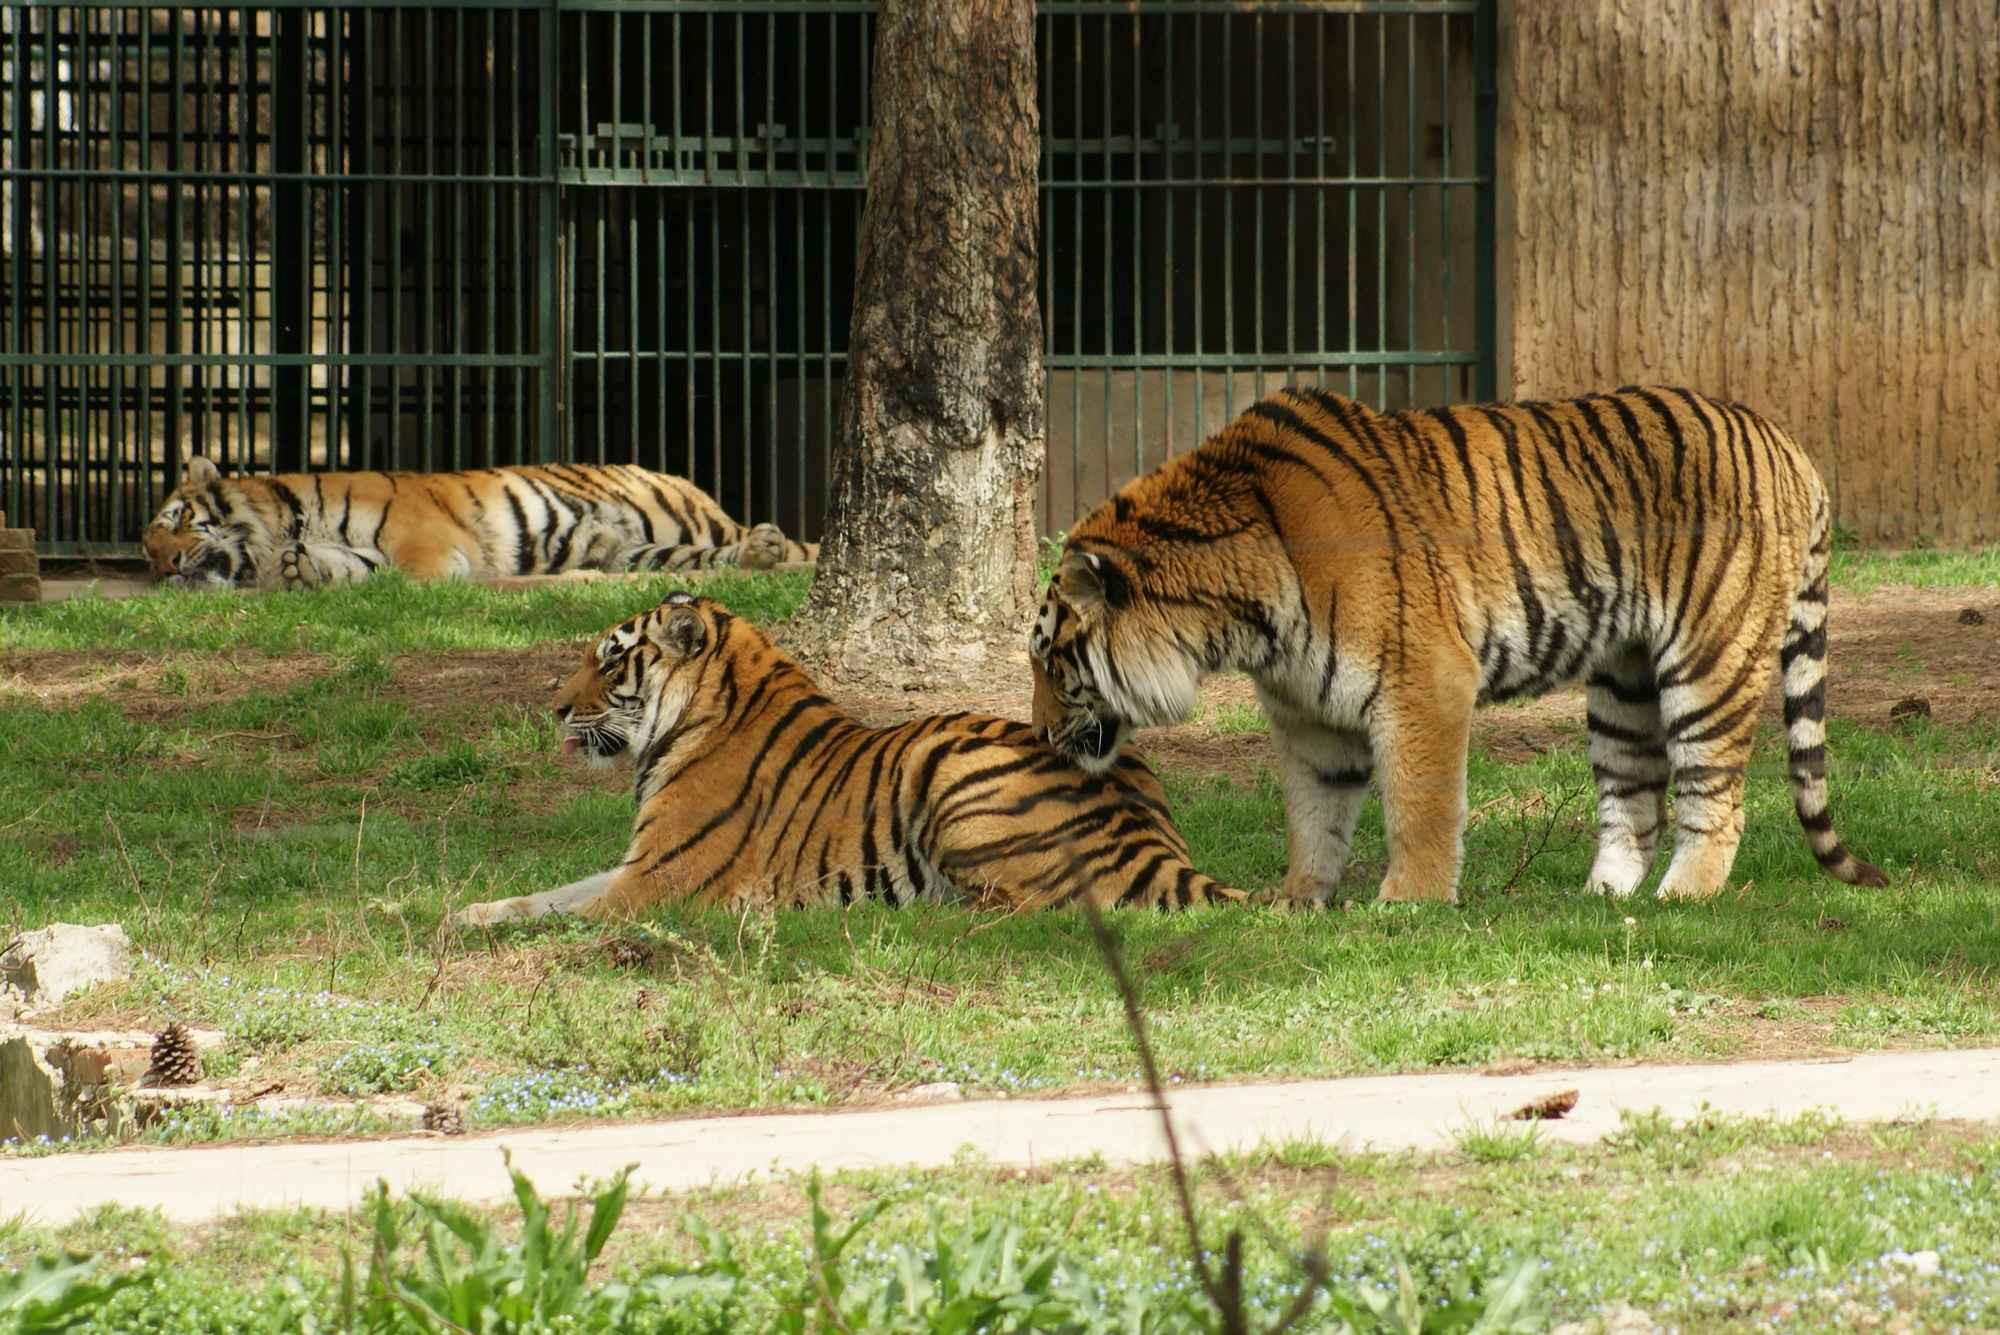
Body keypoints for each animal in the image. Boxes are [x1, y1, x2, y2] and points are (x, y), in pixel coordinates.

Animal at [456, 587, 1240, 923]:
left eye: (612, 660)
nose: (556, 707)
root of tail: (1153, 838)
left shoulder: (654, 882)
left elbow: (565, 913)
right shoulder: (634, 865)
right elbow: (546, 894)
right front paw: (462, 913)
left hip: (946, 773)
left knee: (1039, 906)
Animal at [1032, 385, 1888, 907]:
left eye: (1050, 658)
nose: (1039, 732)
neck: (1235, 621)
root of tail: (1787, 441)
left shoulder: (1423, 680)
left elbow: (1421, 802)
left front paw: (1407, 902)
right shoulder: (1309, 717)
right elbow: (1313, 811)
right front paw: (1300, 899)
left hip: (1709, 659)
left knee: (1717, 795)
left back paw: (1683, 894)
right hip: (1623, 680)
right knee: (1631, 799)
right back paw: (1601, 897)